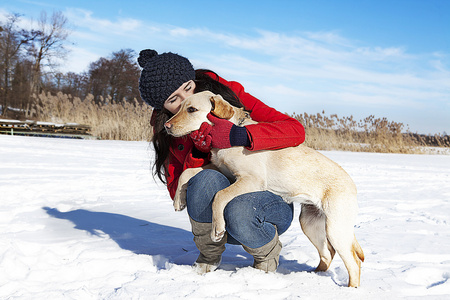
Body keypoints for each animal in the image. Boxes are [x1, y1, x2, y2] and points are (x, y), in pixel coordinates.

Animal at [163, 91, 364, 286]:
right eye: (179, 108)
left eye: (192, 109)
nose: (166, 126)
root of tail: (352, 185)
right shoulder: (221, 169)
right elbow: (187, 172)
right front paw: (178, 200)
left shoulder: (251, 179)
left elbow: (220, 195)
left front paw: (217, 228)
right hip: (310, 223)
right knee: (327, 253)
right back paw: (313, 275)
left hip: (336, 228)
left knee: (354, 263)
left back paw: (350, 289)